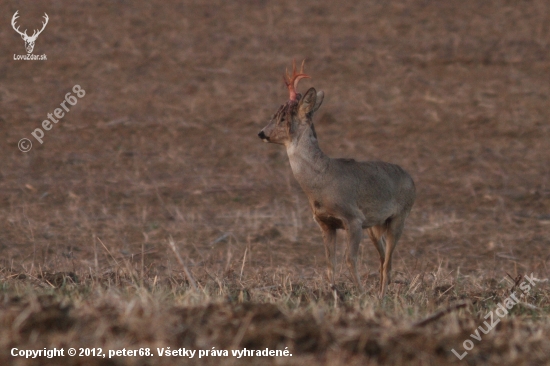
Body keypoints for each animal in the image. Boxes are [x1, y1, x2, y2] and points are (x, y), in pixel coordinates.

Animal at [260, 61, 418, 298]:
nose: (262, 133)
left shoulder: (353, 219)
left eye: (283, 117)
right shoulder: (325, 223)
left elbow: (349, 260)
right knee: (382, 258)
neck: (321, 181)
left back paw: (381, 297)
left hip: (399, 217)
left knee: (388, 262)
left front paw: (360, 294)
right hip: (375, 225)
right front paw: (334, 293)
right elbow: (329, 264)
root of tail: (412, 181)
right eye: (275, 114)